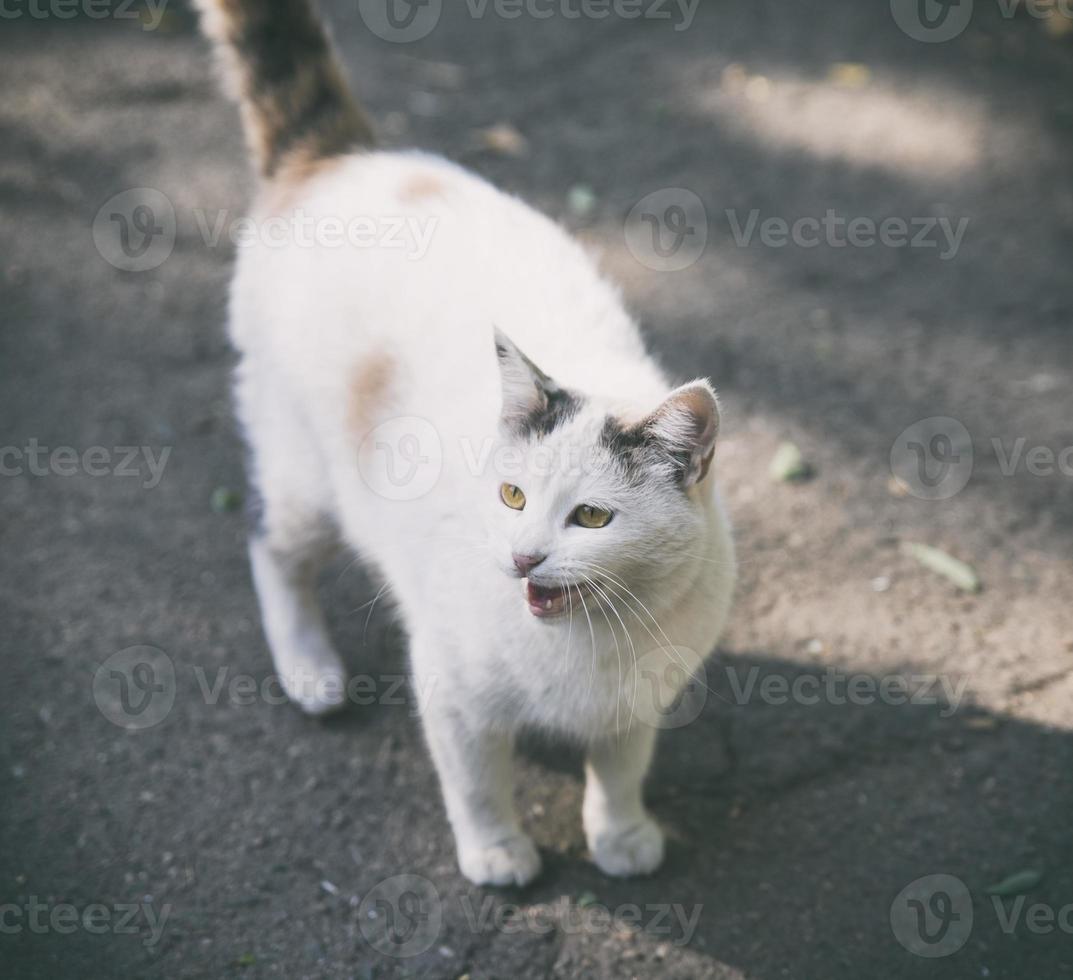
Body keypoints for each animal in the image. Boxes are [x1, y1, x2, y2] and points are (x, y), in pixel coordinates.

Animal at [193, 0, 733, 888]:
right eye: (511, 497)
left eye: (591, 518)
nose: (521, 557)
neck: (584, 645)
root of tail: (343, 158)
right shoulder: (451, 692)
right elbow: (477, 780)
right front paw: (498, 853)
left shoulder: (634, 701)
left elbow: (621, 766)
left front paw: (620, 836)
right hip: (304, 477)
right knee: (270, 549)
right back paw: (310, 671)